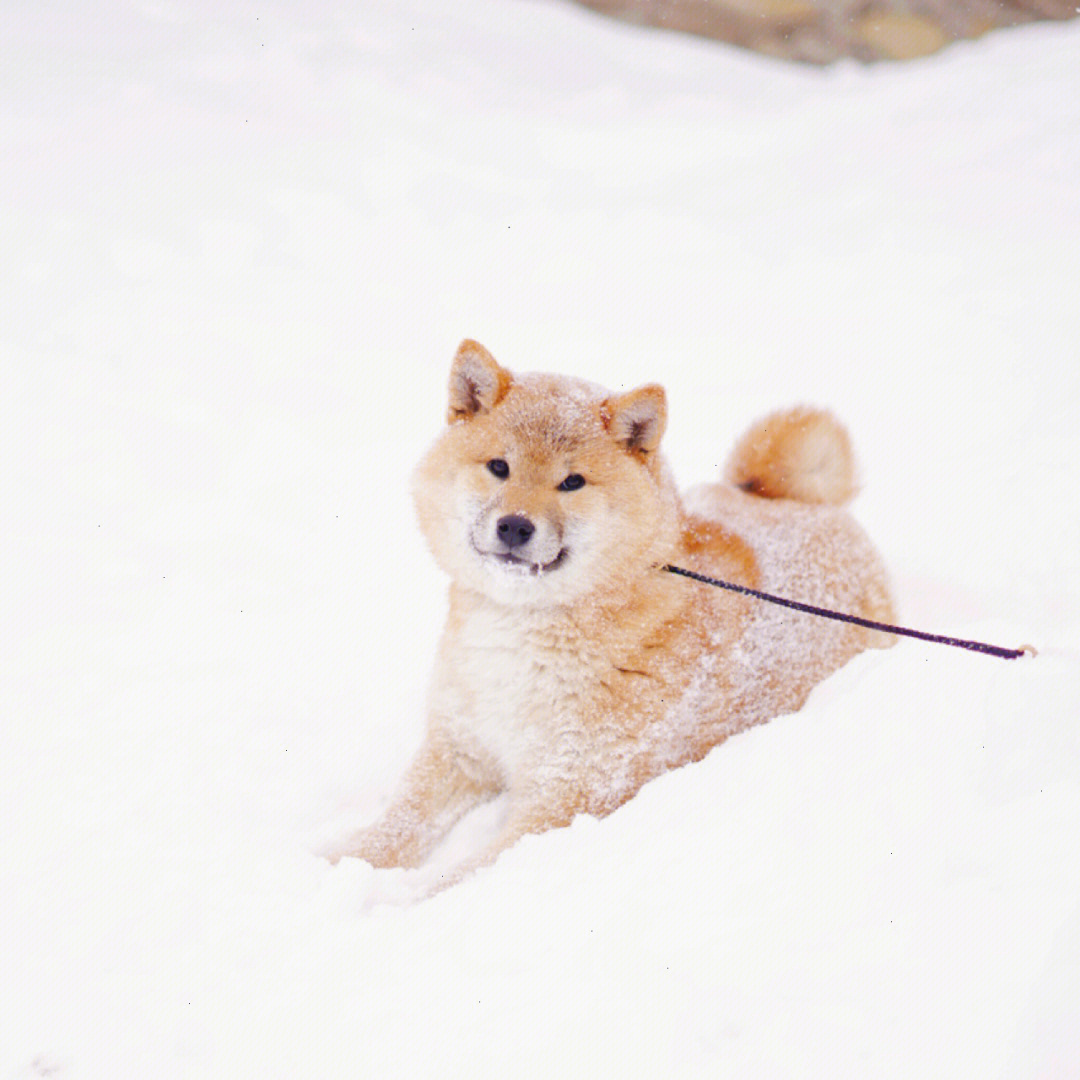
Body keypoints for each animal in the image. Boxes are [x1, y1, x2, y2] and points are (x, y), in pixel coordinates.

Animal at [332, 339, 898, 885]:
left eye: (572, 483)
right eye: (499, 467)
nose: (515, 525)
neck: (523, 635)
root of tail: (809, 504)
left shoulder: (561, 802)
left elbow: (452, 880)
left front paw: (390, 899)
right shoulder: (458, 750)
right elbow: (399, 821)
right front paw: (341, 862)